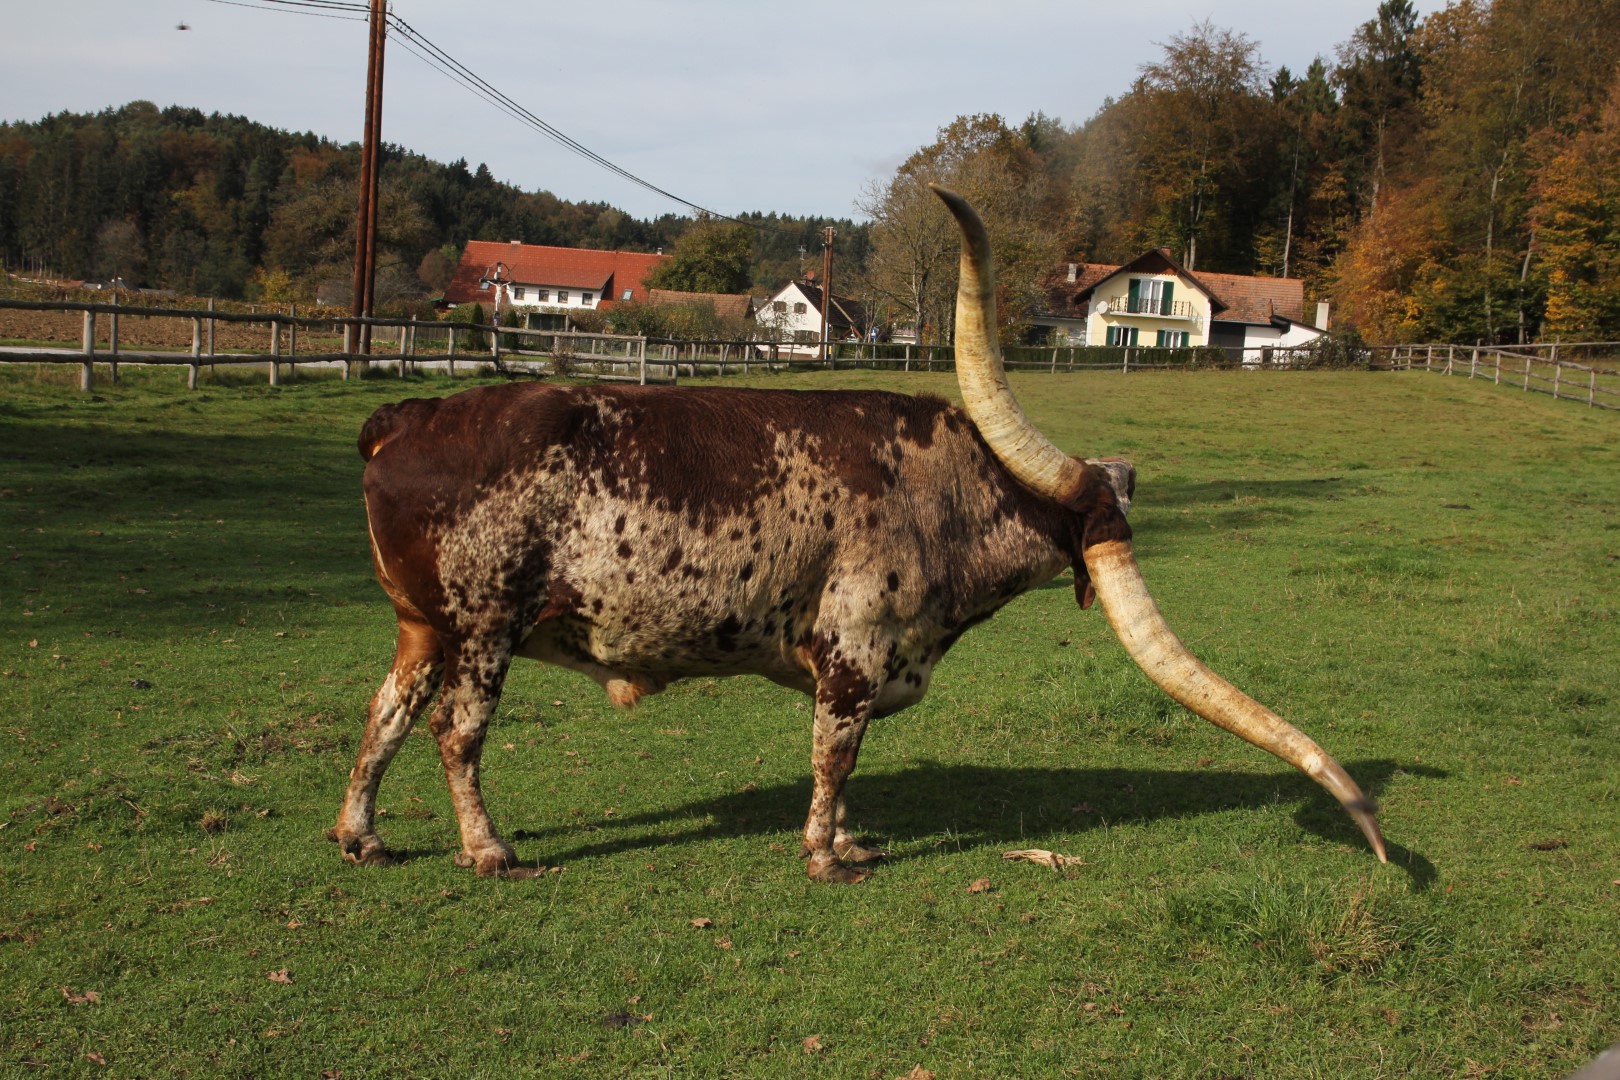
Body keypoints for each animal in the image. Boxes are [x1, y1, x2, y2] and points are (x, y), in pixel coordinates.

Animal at [325, 183, 1380, 880]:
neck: (952, 489)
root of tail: (409, 417)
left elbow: (846, 761)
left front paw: (844, 841)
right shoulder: (854, 651)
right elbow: (836, 754)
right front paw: (826, 855)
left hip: (423, 626)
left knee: (387, 712)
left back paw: (362, 836)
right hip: (486, 624)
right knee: (456, 732)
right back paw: (488, 849)